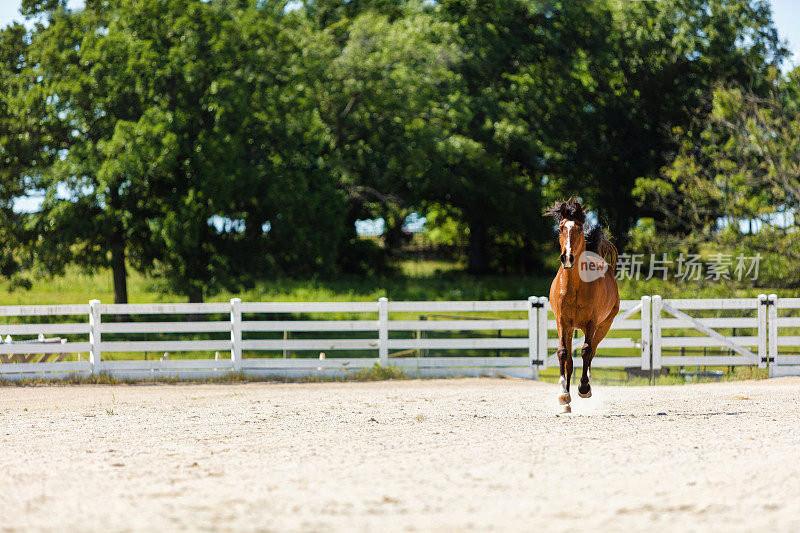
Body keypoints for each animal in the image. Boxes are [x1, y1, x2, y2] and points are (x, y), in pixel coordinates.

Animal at [544, 198, 620, 412]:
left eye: (578, 229)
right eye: (560, 228)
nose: (567, 257)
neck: (575, 286)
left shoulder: (592, 323)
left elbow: (586, 350)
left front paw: (584, 388)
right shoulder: (562, 322)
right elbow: (563, 354)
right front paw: (563, 395)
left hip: (604, 326)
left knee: (592, 351)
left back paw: (585, 385)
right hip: (571, 328)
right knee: (570, 360)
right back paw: (567, 401)